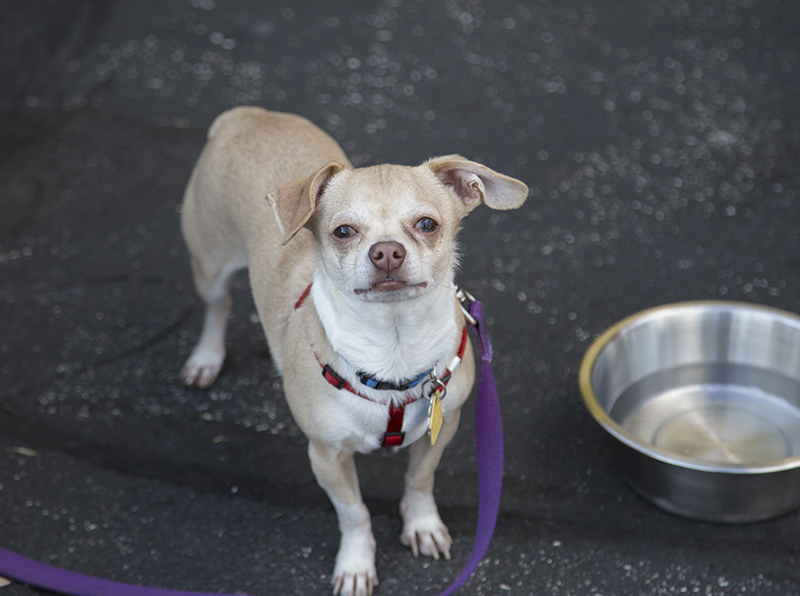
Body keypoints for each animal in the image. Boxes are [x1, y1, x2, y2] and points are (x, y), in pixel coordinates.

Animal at [178, 107, 528, 596]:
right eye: (343, 231)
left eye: (427, 224)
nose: (387, 252)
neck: (393, 346)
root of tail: (249, 114)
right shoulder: (326, 457)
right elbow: (355, 512)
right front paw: (357, 564)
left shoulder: (443, 428)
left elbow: (419, 480)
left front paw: (421, 525)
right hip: (210, 265)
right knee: (217, 307)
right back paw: (206, 359)